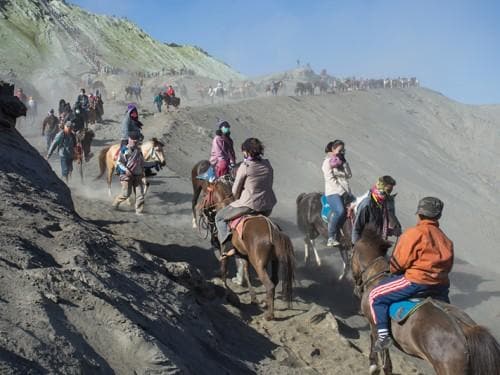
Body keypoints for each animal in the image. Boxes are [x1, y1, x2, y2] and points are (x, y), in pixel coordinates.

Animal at [198, 181, 292, 320]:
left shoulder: (224, 248)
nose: (200, 209)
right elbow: (247, 275)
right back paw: (265, 302)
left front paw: (225, 288)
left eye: (205, 194)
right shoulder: (243, 255)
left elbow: (224, 269)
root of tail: (274, 230)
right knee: (274, 280)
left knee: (269, 285)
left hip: (259, 264)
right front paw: (253, 298)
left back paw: (269, 315)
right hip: (274, 261)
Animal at [350, 226, 500, 375]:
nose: (356, 288)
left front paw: (373, 364)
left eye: (352, 251)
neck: (377, 278)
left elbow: (383, 357)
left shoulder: (375, 326)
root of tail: (467, 329)